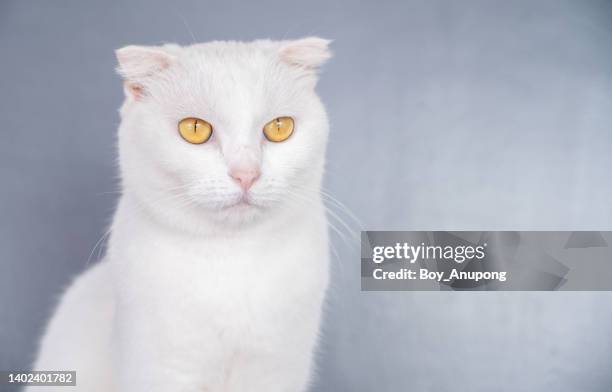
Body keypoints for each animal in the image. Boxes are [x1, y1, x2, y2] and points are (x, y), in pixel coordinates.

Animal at [28, 37, 332, 392]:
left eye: (280, 127)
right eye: (195, 129)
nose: (246, 174)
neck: (232, 257)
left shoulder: (277, 367)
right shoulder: (164, 367)